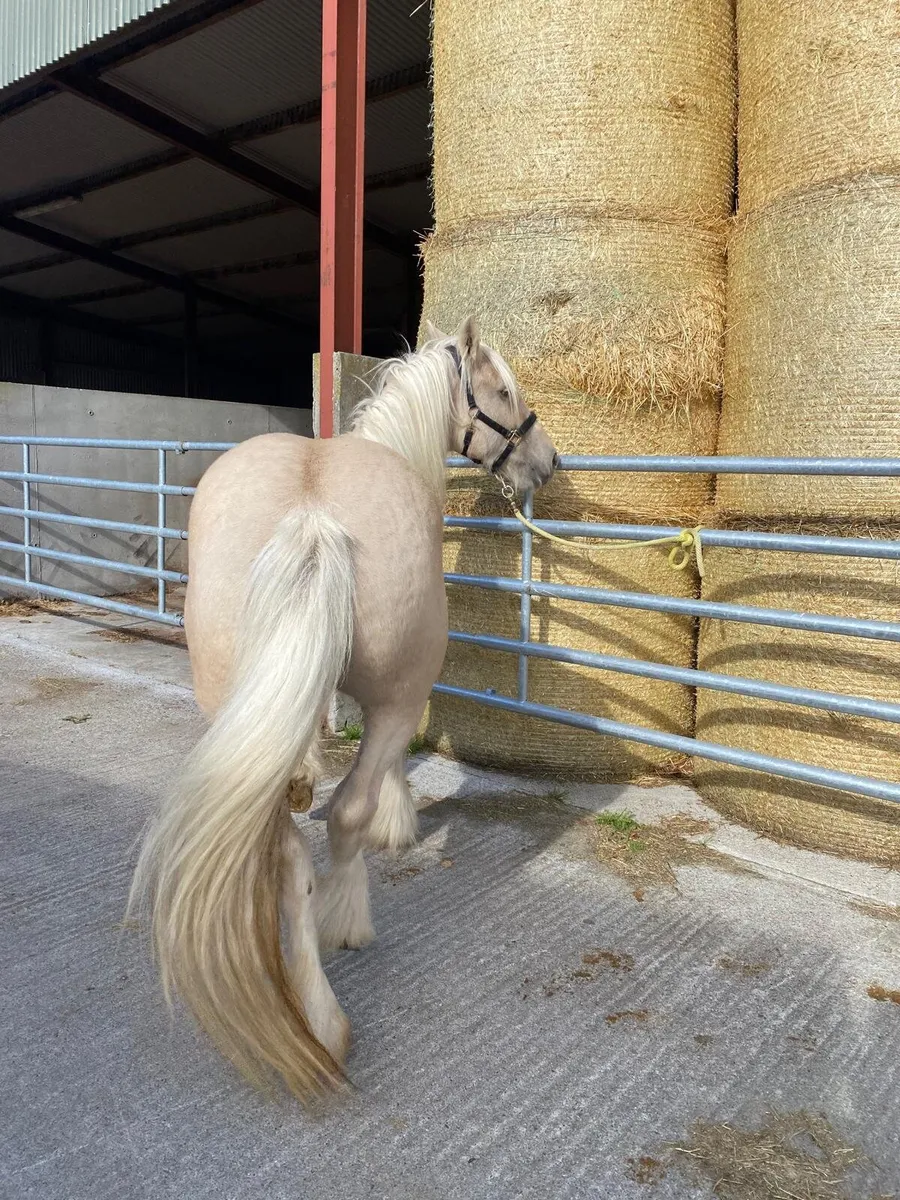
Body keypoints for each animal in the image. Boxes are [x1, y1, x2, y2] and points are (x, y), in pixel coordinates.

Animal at [129, 316, 559, 1104]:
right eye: (504, 391)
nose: (547, 463)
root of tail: (311, 515)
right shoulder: (397, 696)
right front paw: (398, 820)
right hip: (400, 689)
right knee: (345, 817)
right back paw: (345, 933)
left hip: (230, 704)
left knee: (284, 847)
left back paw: (317, 1008)